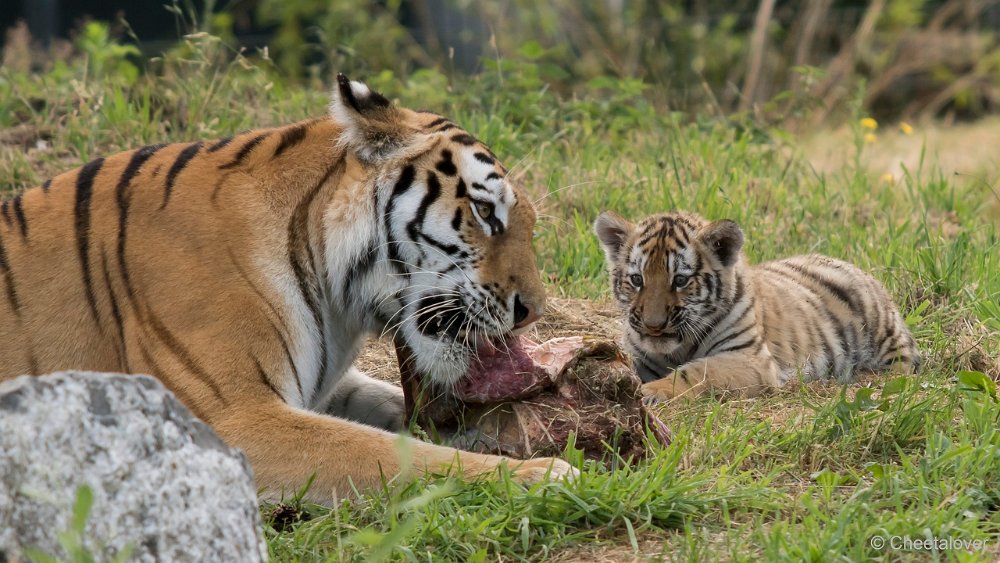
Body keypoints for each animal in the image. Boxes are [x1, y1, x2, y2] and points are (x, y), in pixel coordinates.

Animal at [0, 75, 576, 502]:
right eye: (485, 212)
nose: (532, 311)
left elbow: (386, 408)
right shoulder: (233, 419)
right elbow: (386, 453)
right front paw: (547, 474)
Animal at [592, 212, 920, 400]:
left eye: (681, 280)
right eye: (637, 279)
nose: (653, 325)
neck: (676, 349)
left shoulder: (749, 359)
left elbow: (696, 371)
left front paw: (651, 392)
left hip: (884, 337)